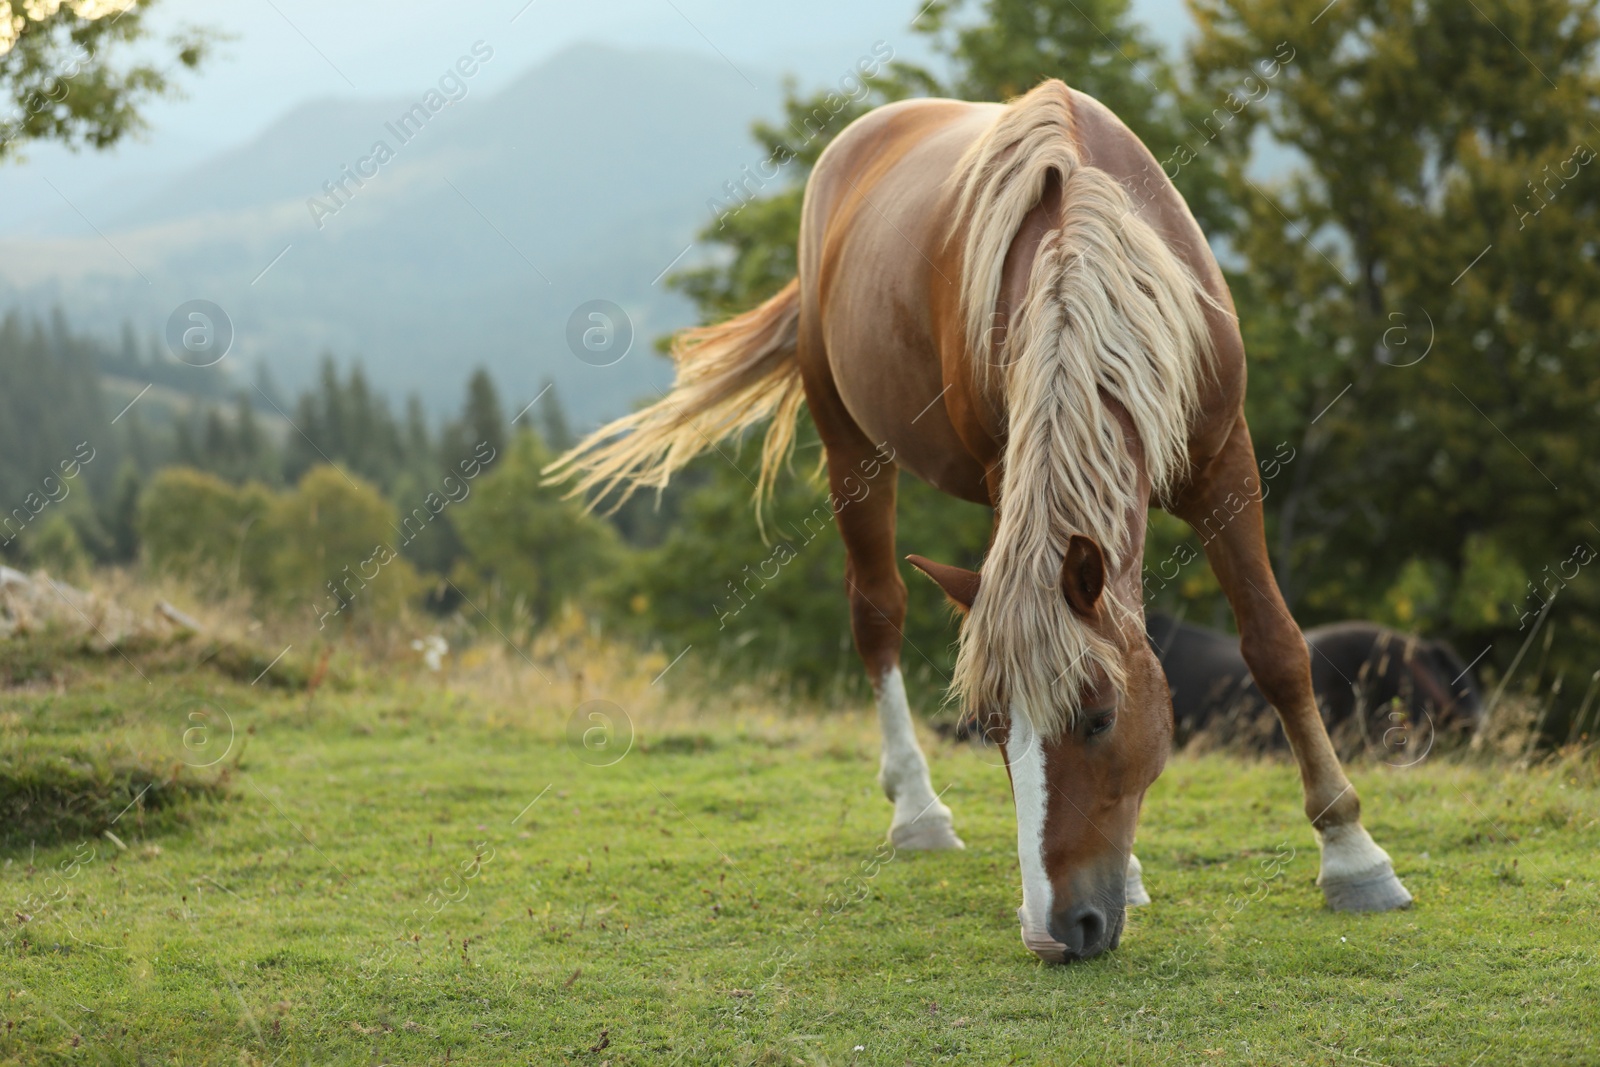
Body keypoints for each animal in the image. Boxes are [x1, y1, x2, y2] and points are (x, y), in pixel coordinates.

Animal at [553, 79, 1414, 966]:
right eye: (992, 725)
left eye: (1099, 717)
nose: (1057, 929)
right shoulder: (1012, 473)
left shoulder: (1224, 462)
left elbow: (1276, 647)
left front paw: (1354, 858)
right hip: (848, 440)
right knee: (877, 610)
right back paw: (917, 810)